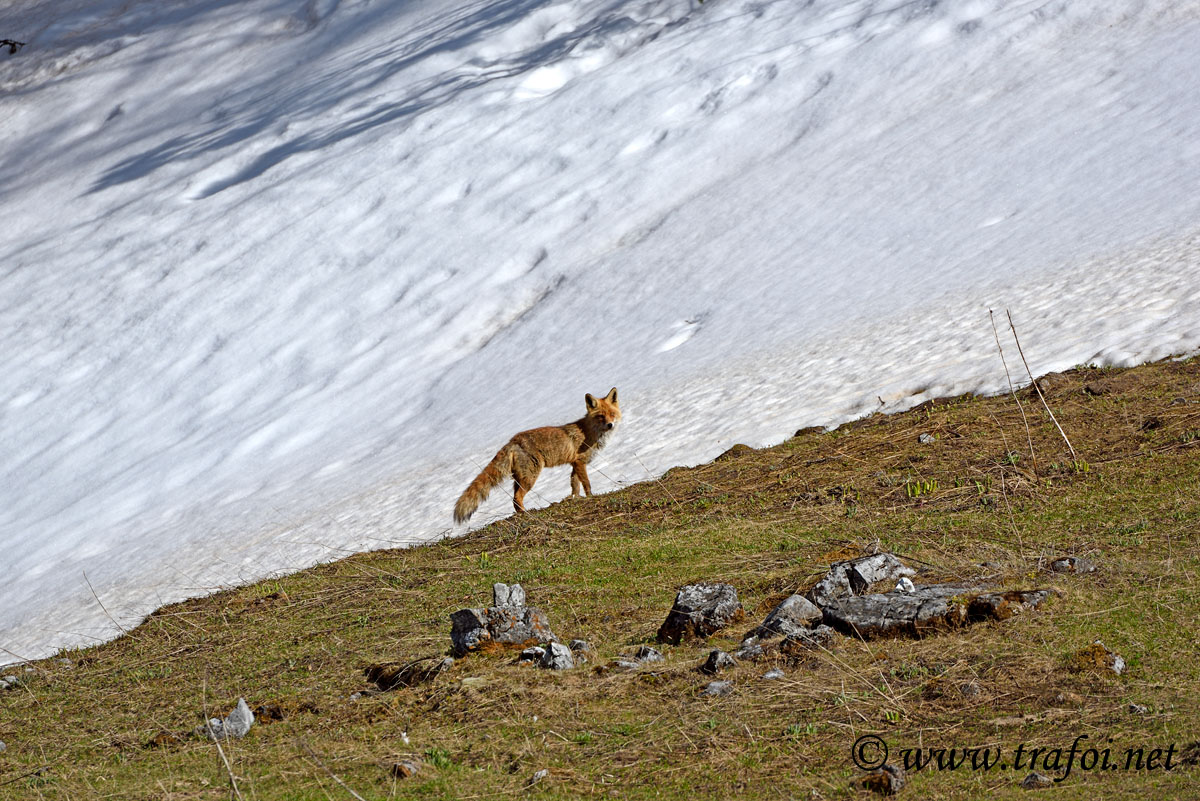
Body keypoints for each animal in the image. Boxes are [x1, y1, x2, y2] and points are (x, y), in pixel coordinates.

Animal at [454, 387, 621, 524]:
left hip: (520, 479)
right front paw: (590, 496)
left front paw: (575, 498)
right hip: (530, 477)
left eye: (612, 414)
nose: (610, 425)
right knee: (517, 498)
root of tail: (513, 441)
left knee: (514, 500)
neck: (588, 433)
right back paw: (526, 514)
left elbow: (575, 485)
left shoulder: (575, 464)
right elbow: (586, 483)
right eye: (600, 416)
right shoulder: (579, 462)